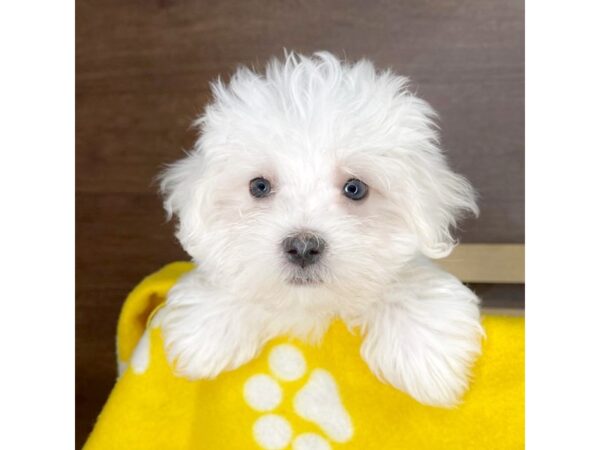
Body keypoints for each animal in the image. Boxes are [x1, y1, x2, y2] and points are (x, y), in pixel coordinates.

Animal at [156, 51, 482, 408]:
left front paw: (424, 351)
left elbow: (406, 279)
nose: (302, 247)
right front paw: (207, 328)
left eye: (355, 188)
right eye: (259, 186)